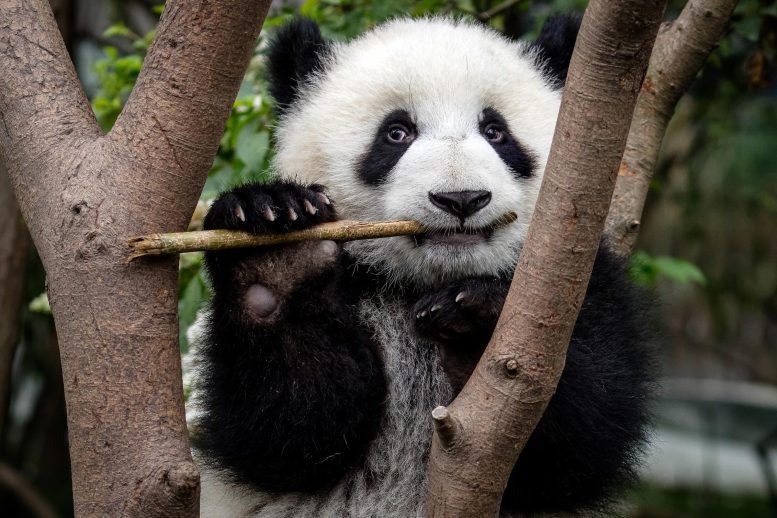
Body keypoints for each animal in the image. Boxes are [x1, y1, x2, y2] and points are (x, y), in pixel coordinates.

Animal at [192, 14, 654, 518]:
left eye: (496, 132)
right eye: (397, 133)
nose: (462, 199)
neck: (422, 282)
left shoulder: (577, 280)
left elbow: (583, 435)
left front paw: (476, 321)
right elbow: (291, 431)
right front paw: (278, 252)